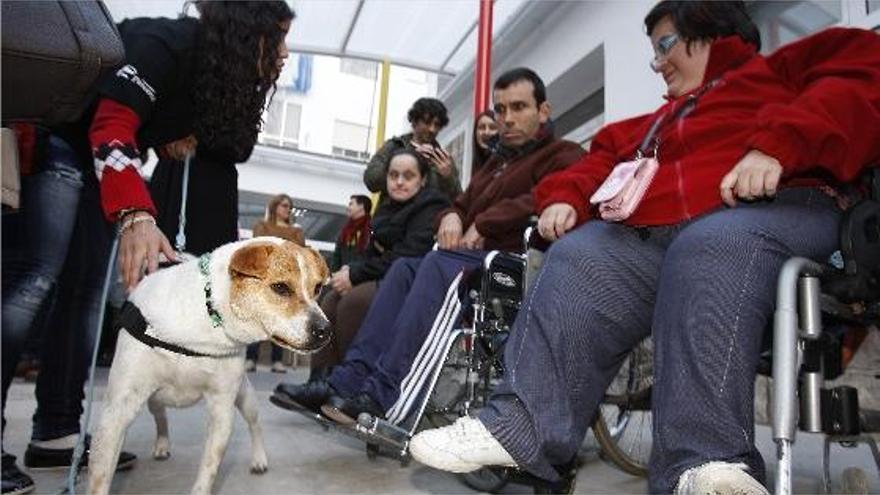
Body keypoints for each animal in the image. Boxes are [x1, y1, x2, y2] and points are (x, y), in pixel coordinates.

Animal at [89, 238, 330, 494]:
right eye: (281, 287)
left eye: (317, 288)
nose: (325, 331)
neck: (207, 316)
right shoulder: (117, 409)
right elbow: (100, 476)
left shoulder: (222, 409)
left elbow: (209, 468)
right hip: (154, 399)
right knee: (160, 415)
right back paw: (162, 445)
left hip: (245, 397)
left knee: (255, 424)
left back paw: (259, 459)